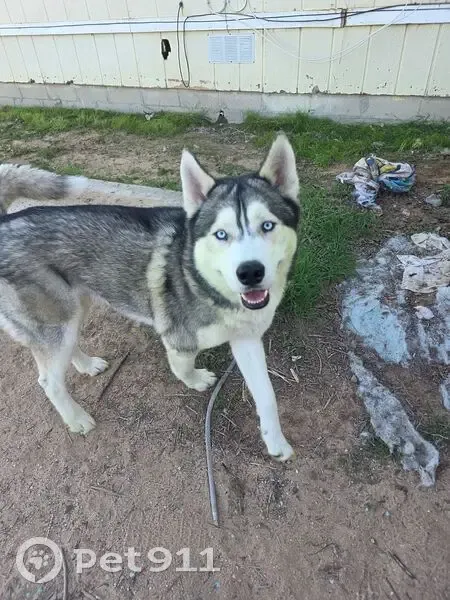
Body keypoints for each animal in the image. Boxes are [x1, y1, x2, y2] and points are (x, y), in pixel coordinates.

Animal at [0, 133, 300, 461]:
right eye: (221, 234)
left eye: (267, 225)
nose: (250, 272)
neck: (203, 280)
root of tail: (4, 223)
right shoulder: (178, 340)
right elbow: (181, 367)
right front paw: (196, 381)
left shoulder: (247, 339)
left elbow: (267, 394)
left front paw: (276, 442)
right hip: (55, 321)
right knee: (49, 381)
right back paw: (76, 419)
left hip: (73, 308)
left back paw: (86, 365)